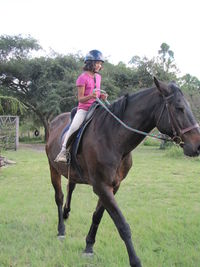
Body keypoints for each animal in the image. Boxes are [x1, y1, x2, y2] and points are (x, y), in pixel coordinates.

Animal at [45, 77, 200, 267]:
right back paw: (61, 229)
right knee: (59, 197)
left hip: (71, 173)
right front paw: (135, 261)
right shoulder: (101, 186)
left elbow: (97, 216)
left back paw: (67, 213)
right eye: (179, 108)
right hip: (53, 169)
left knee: (70, 187)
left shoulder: (113, 186)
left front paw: (88, 246)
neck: (112, 137)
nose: (197, 145)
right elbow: (122, 225)